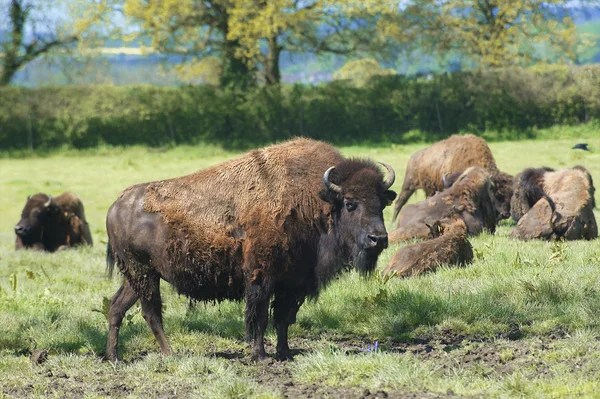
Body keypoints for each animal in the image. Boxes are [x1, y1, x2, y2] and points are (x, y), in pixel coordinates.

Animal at [106, 139, 398, 364]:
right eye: (350, 203)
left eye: (382, 202)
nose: (379, 239)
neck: (315, 199)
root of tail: (117, 204)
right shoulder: (261, 278)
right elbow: (259, 317)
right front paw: (260, 356)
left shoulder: (292, 282)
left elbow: (283, 318)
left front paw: (285, 353)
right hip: (143, 273)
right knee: (151, 312)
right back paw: (170, 354)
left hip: (137, 276)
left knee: (117, 306)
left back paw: (114, 357)